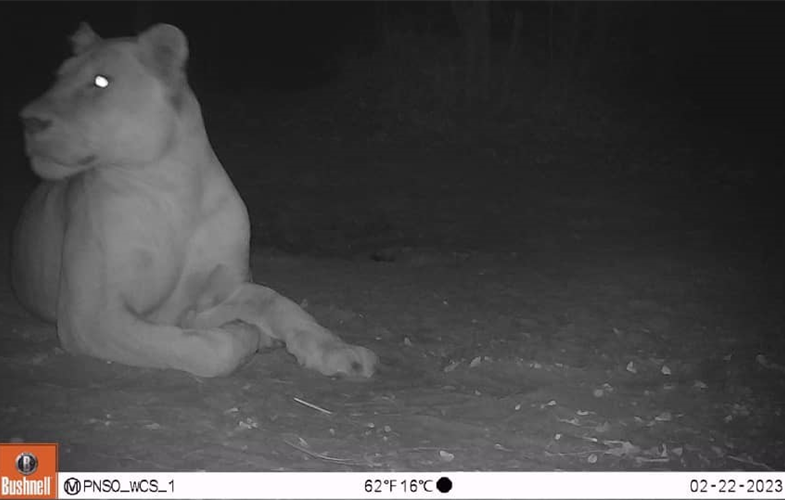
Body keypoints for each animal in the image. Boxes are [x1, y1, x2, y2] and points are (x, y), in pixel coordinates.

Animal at [11, 23, 378, 378]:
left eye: (101, 81)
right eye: (58, 77)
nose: (28, 120)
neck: (175, 188)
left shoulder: (218, 289)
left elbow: (276, 302)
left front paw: (341, 353)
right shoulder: (91, 318)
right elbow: (209, 348)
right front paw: (246, 334)